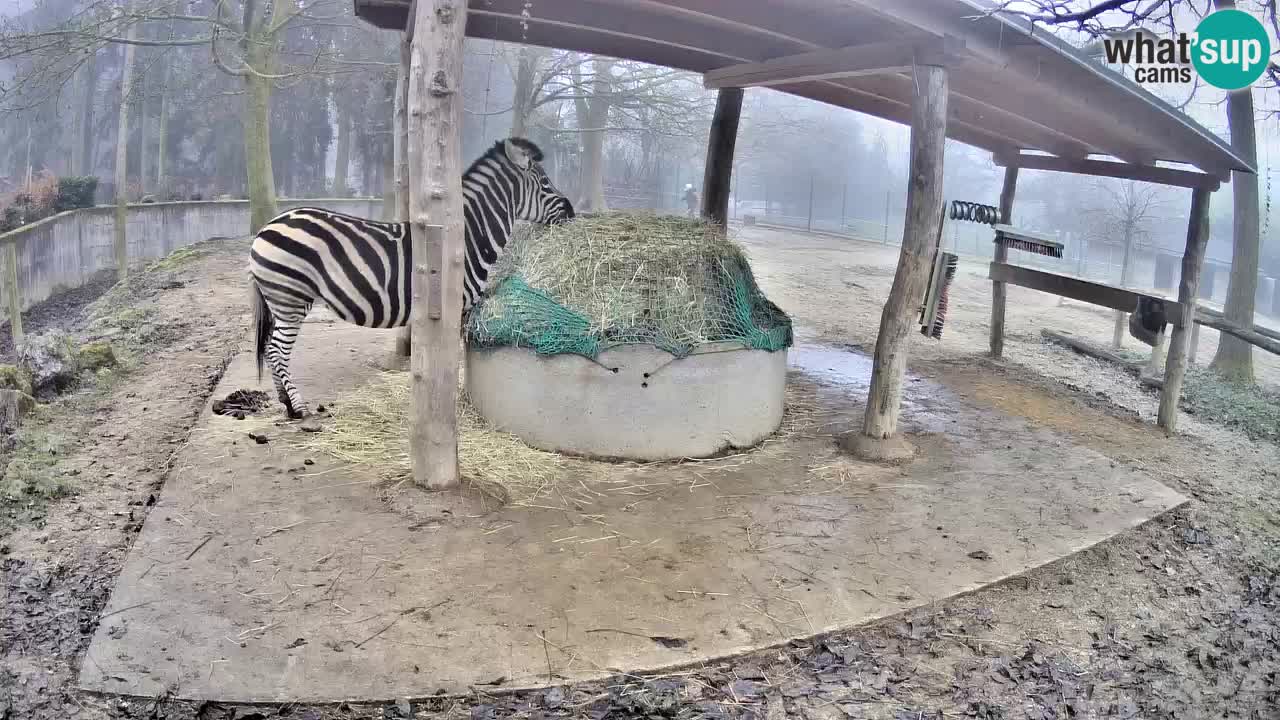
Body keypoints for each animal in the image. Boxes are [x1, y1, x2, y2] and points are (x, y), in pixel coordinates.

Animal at [249, 137, 575, 419]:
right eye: (545, 183)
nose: (572, 211)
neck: (466, 238)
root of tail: (266, 227)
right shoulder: (456, 306)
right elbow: (454, 361)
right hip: (291, 298)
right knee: (277, 351)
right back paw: (298, 408)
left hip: (281, 301)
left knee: (270, 349)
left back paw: (286, 404)